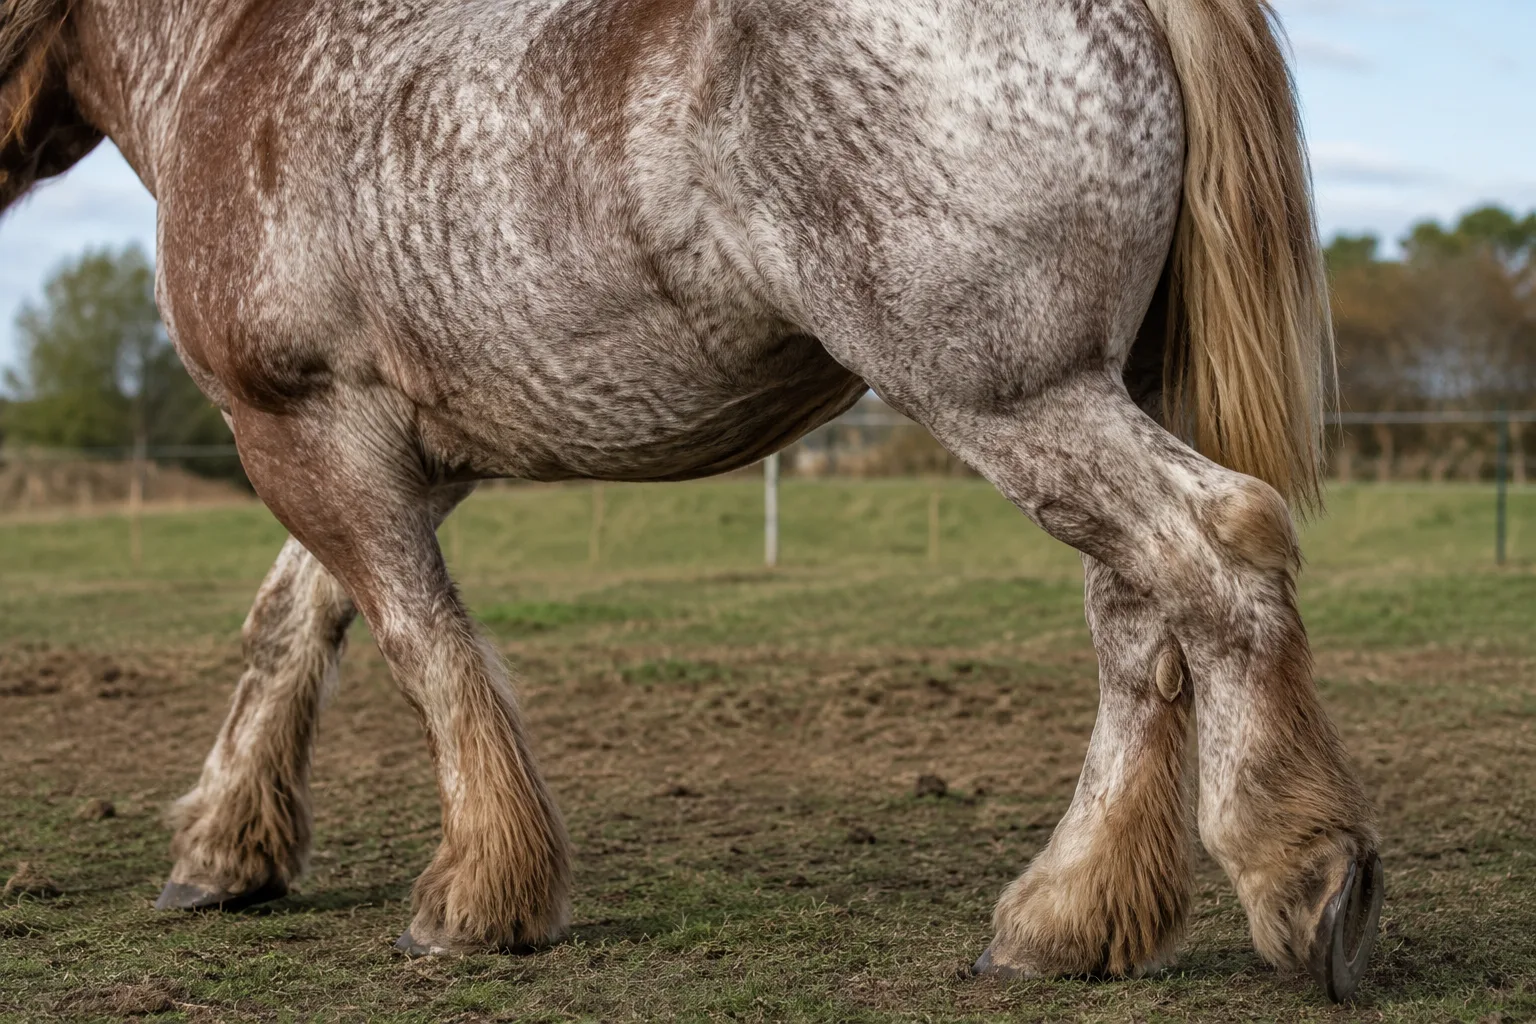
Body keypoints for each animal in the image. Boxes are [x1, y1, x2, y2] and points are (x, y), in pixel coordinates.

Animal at [1, 0, 1384, 1001]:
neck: (239, 52)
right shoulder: (389, 450)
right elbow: (293, 629)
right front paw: (223, 853)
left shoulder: (296, 428)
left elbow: (420, 640)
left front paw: (476, 895)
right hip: (1092, 393)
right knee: (1141, 620)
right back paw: (1067, 918)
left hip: (1015, 394)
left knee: (1215, 555)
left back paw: (1302, 873)